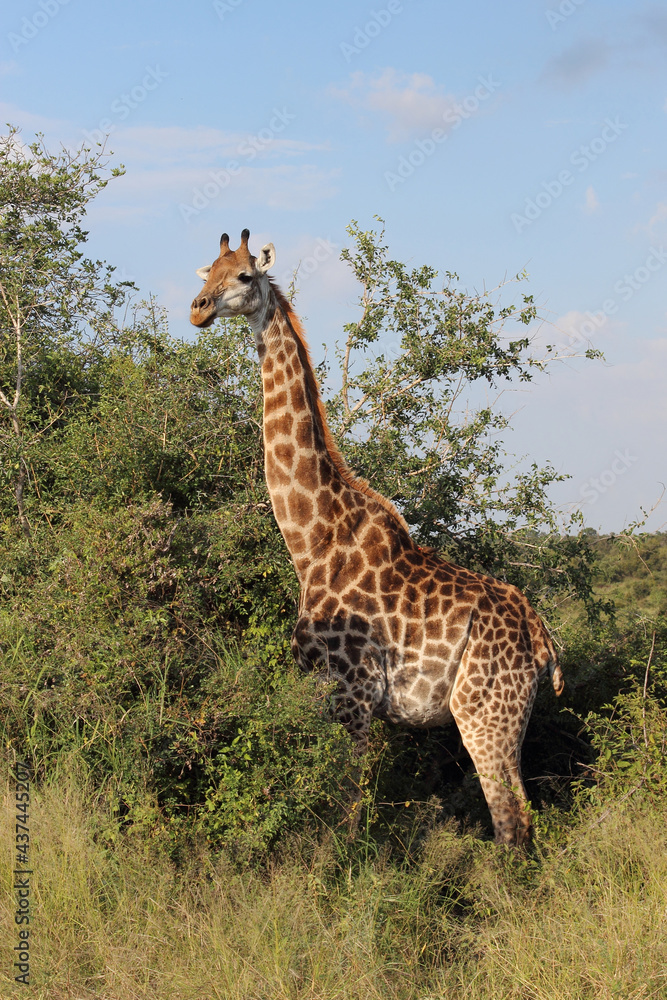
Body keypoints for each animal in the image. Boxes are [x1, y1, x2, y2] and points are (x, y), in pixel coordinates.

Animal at [190, 229, 564, 847]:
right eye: (206, 272)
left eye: (243, 276)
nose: (197, 309)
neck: (312, 542)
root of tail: (543, 639)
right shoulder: (332, 693)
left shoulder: (353, 694)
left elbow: (347, 813)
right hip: (503, 716)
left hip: (486, 713)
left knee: (512, 821)